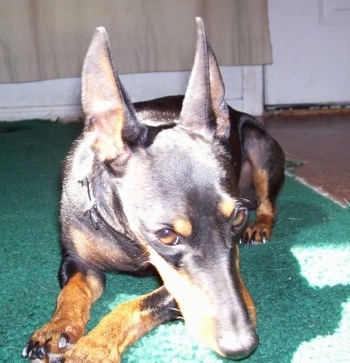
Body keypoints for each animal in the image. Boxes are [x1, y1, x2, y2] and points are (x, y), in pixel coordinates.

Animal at [21, 17, 284, 363]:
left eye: (237, 218)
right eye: (166, 235)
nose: (243, 345)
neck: (129, 241)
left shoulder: (184, 285)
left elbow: (134, 305)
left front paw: (92, 348)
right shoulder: (77, 262)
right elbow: (72, 291)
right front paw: (55, 330)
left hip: (259, 143)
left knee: (268, 201)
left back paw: (262, 225)